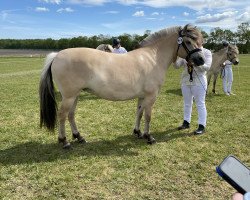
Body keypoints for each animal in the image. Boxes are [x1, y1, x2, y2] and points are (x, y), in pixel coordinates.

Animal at [39, 23, 205, 148]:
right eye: (188, 42)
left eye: (199, 42)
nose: (201, 60)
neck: (153, 58)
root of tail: (57, 55)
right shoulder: (151, 96)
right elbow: (148, 116)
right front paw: (149, 137)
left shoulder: (142, 96)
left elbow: (139, 113)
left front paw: (138, 132)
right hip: (69, 96)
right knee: (62, 115)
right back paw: (64, 141)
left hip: (75, 95)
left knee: (71, 115)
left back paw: (79, 137)